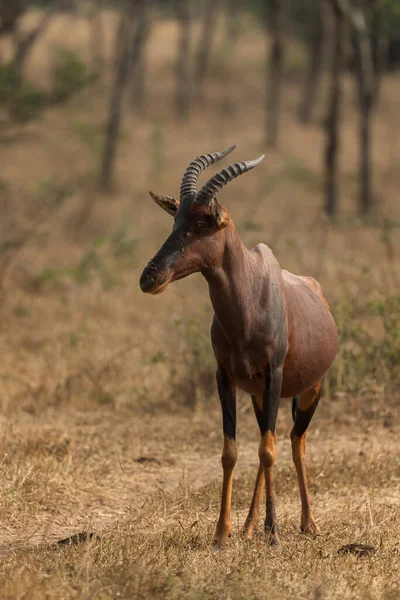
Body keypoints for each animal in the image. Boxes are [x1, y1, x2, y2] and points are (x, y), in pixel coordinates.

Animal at [141, 146, 338, 548]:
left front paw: (273, 532)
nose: (149, 278)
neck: (250, 299)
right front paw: (222, 533)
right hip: (259, 394)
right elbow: (231, 452)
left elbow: (268, 450)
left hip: (311, 389)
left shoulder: (274, 375)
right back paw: (249, 526)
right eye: (175, 221)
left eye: (203, 224)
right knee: (271, 440)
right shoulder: (226, 378)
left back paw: (308, 523)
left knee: (294, 441)